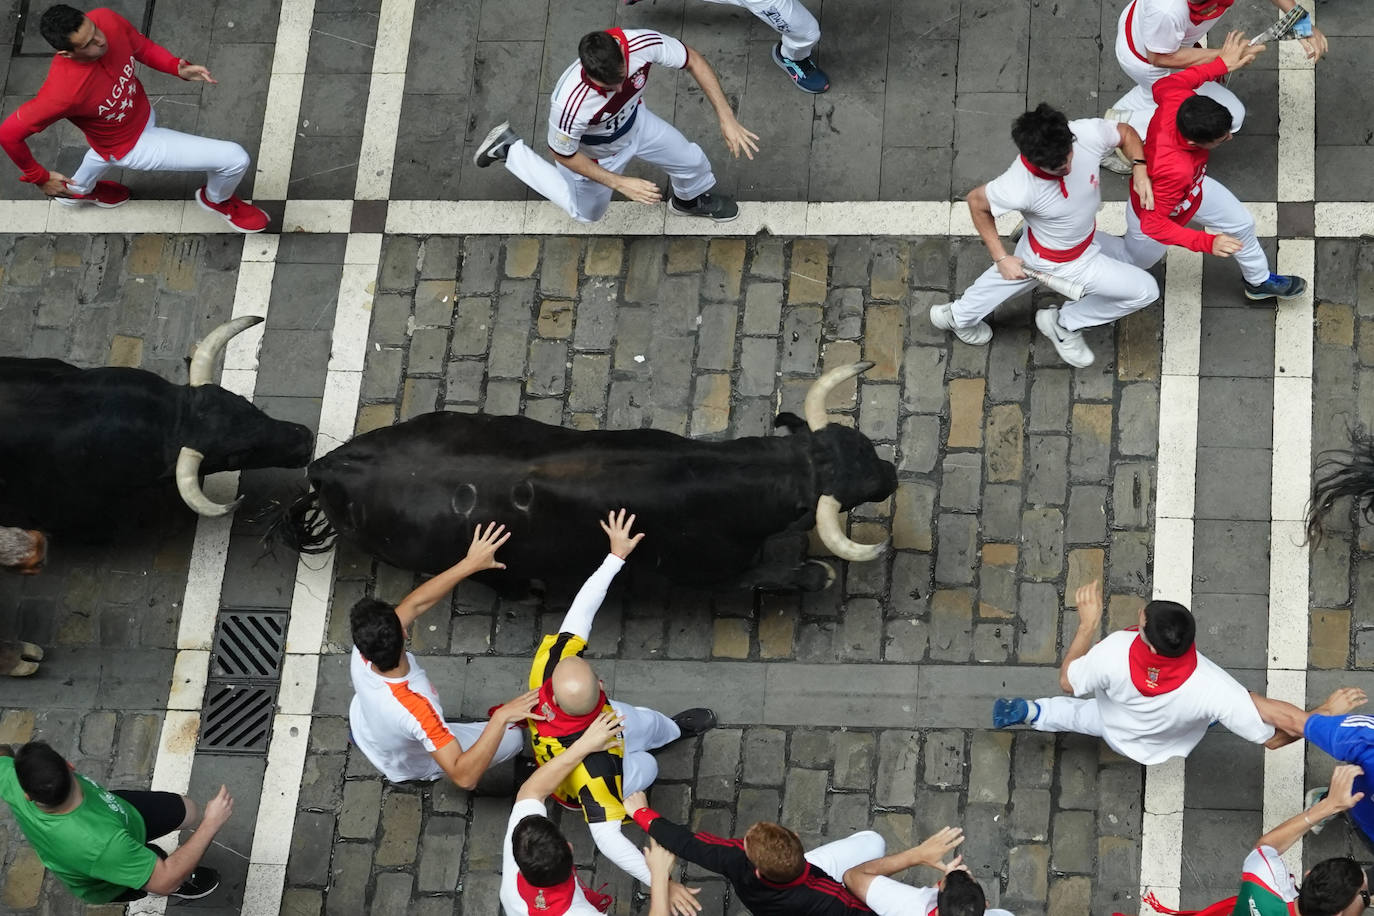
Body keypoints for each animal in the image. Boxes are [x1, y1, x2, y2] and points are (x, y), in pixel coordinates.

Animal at [278, 362, 901, 590]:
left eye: (862, 445)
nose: (891, 472)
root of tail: (327, 465)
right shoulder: (718, 572)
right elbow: (776, 580)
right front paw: (817, 575)